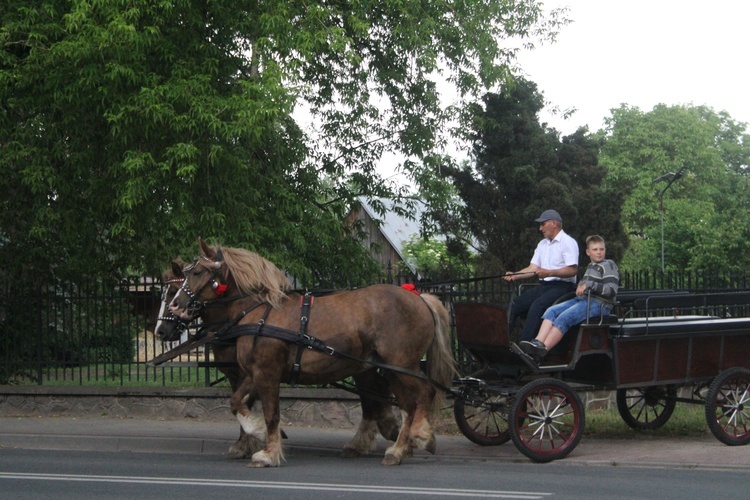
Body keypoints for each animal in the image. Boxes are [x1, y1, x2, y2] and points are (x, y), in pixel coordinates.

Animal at [169, 240, 458, 466]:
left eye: (197, 272)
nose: (175, 306)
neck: (260, 312)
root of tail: (419, 298)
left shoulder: (266, 373)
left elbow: (271, 413)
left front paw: (268, 452)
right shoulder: (253, 373)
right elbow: (236, 403)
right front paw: (258, 433)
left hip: (403, 365)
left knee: (424, 394)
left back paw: (418, 437)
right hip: (393, 369)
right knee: (408, 403)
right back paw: (398, 448)